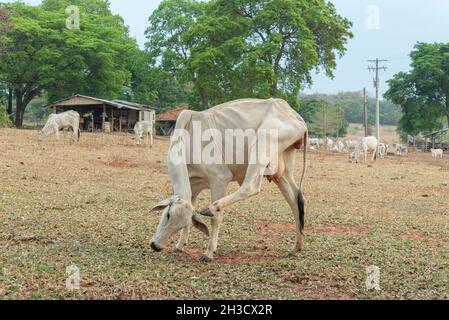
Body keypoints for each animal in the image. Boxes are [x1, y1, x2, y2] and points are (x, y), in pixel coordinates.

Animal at [149, 98, 306, 262]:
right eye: (168, 215)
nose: (156, 246)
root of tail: (293, 114)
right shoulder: (193, 187)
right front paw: (179, 245)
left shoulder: (219, 179)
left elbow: (216, 219)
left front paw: (209, 253)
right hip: (282, 172)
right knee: (296, 201)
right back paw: (296, 247)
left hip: (261, 145)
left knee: (251, 186)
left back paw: (212, 207)